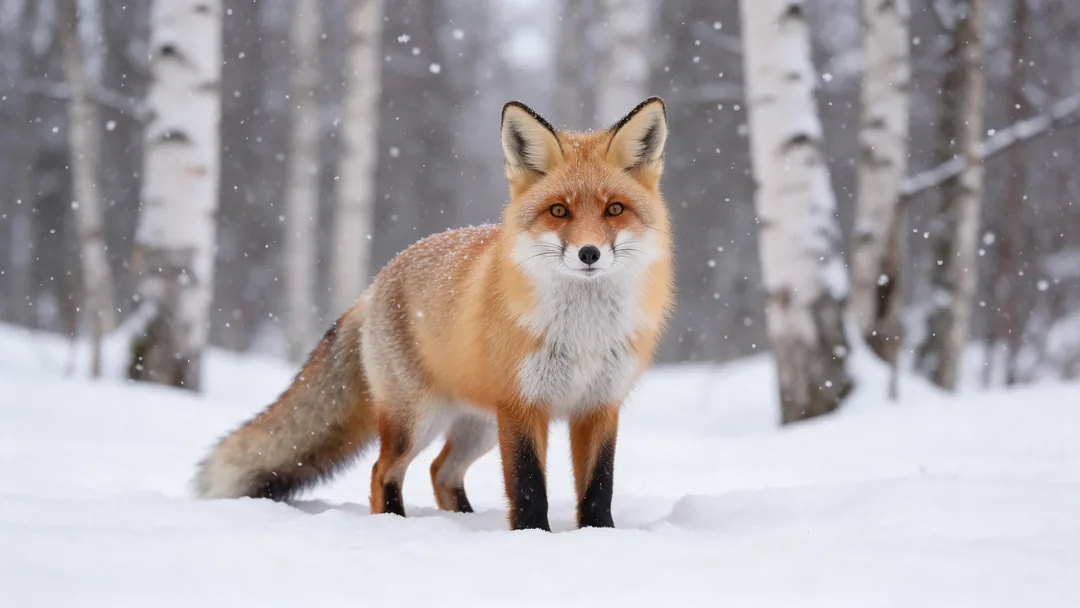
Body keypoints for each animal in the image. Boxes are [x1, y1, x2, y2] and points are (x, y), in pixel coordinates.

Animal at [193, 97, 674, 531]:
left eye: (614, 209)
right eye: (559, 210)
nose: (589, 253)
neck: (582, 333)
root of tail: (376, 283)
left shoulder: (599, 404)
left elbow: (598, 487)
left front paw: (599, 536)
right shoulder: (522, 405)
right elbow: (528, 486)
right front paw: (531, 538)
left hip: (478, 425)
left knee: (441, 471)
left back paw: (463, 522)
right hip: (419, 419)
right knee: (384, 470)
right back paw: (396, 525)